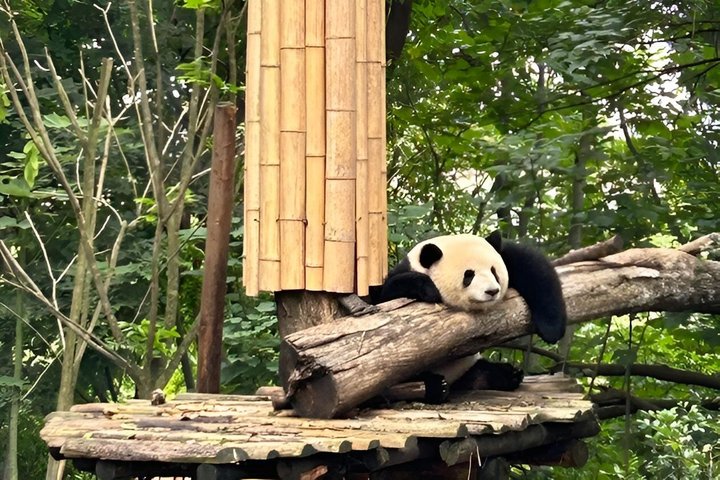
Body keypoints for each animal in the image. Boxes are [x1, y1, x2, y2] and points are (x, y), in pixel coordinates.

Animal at [371, 231, 567, 402]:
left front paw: (552, 329)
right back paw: (436, 387)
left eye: (494, 271)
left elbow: (531, 266)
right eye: (469, 275)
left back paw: (506, 375)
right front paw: (428, 289)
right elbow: (387, 296)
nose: (492, 291)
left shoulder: (508, 257)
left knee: (483, 371)